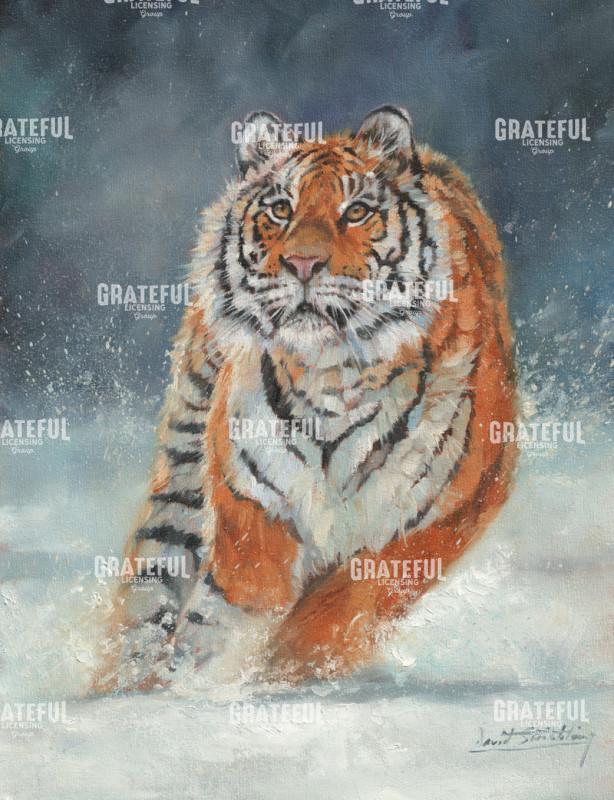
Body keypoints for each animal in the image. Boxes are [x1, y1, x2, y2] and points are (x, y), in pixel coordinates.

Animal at [93, 105, 517, 692]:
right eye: (280, 209)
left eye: (356, 212)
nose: (302, 264)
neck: (331, 378)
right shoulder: (254, 501)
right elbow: (234, 606)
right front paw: (208, 682)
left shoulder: (453, 508)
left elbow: (341, 606)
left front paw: (285, 674)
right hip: (184, 450)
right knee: (152, 574)